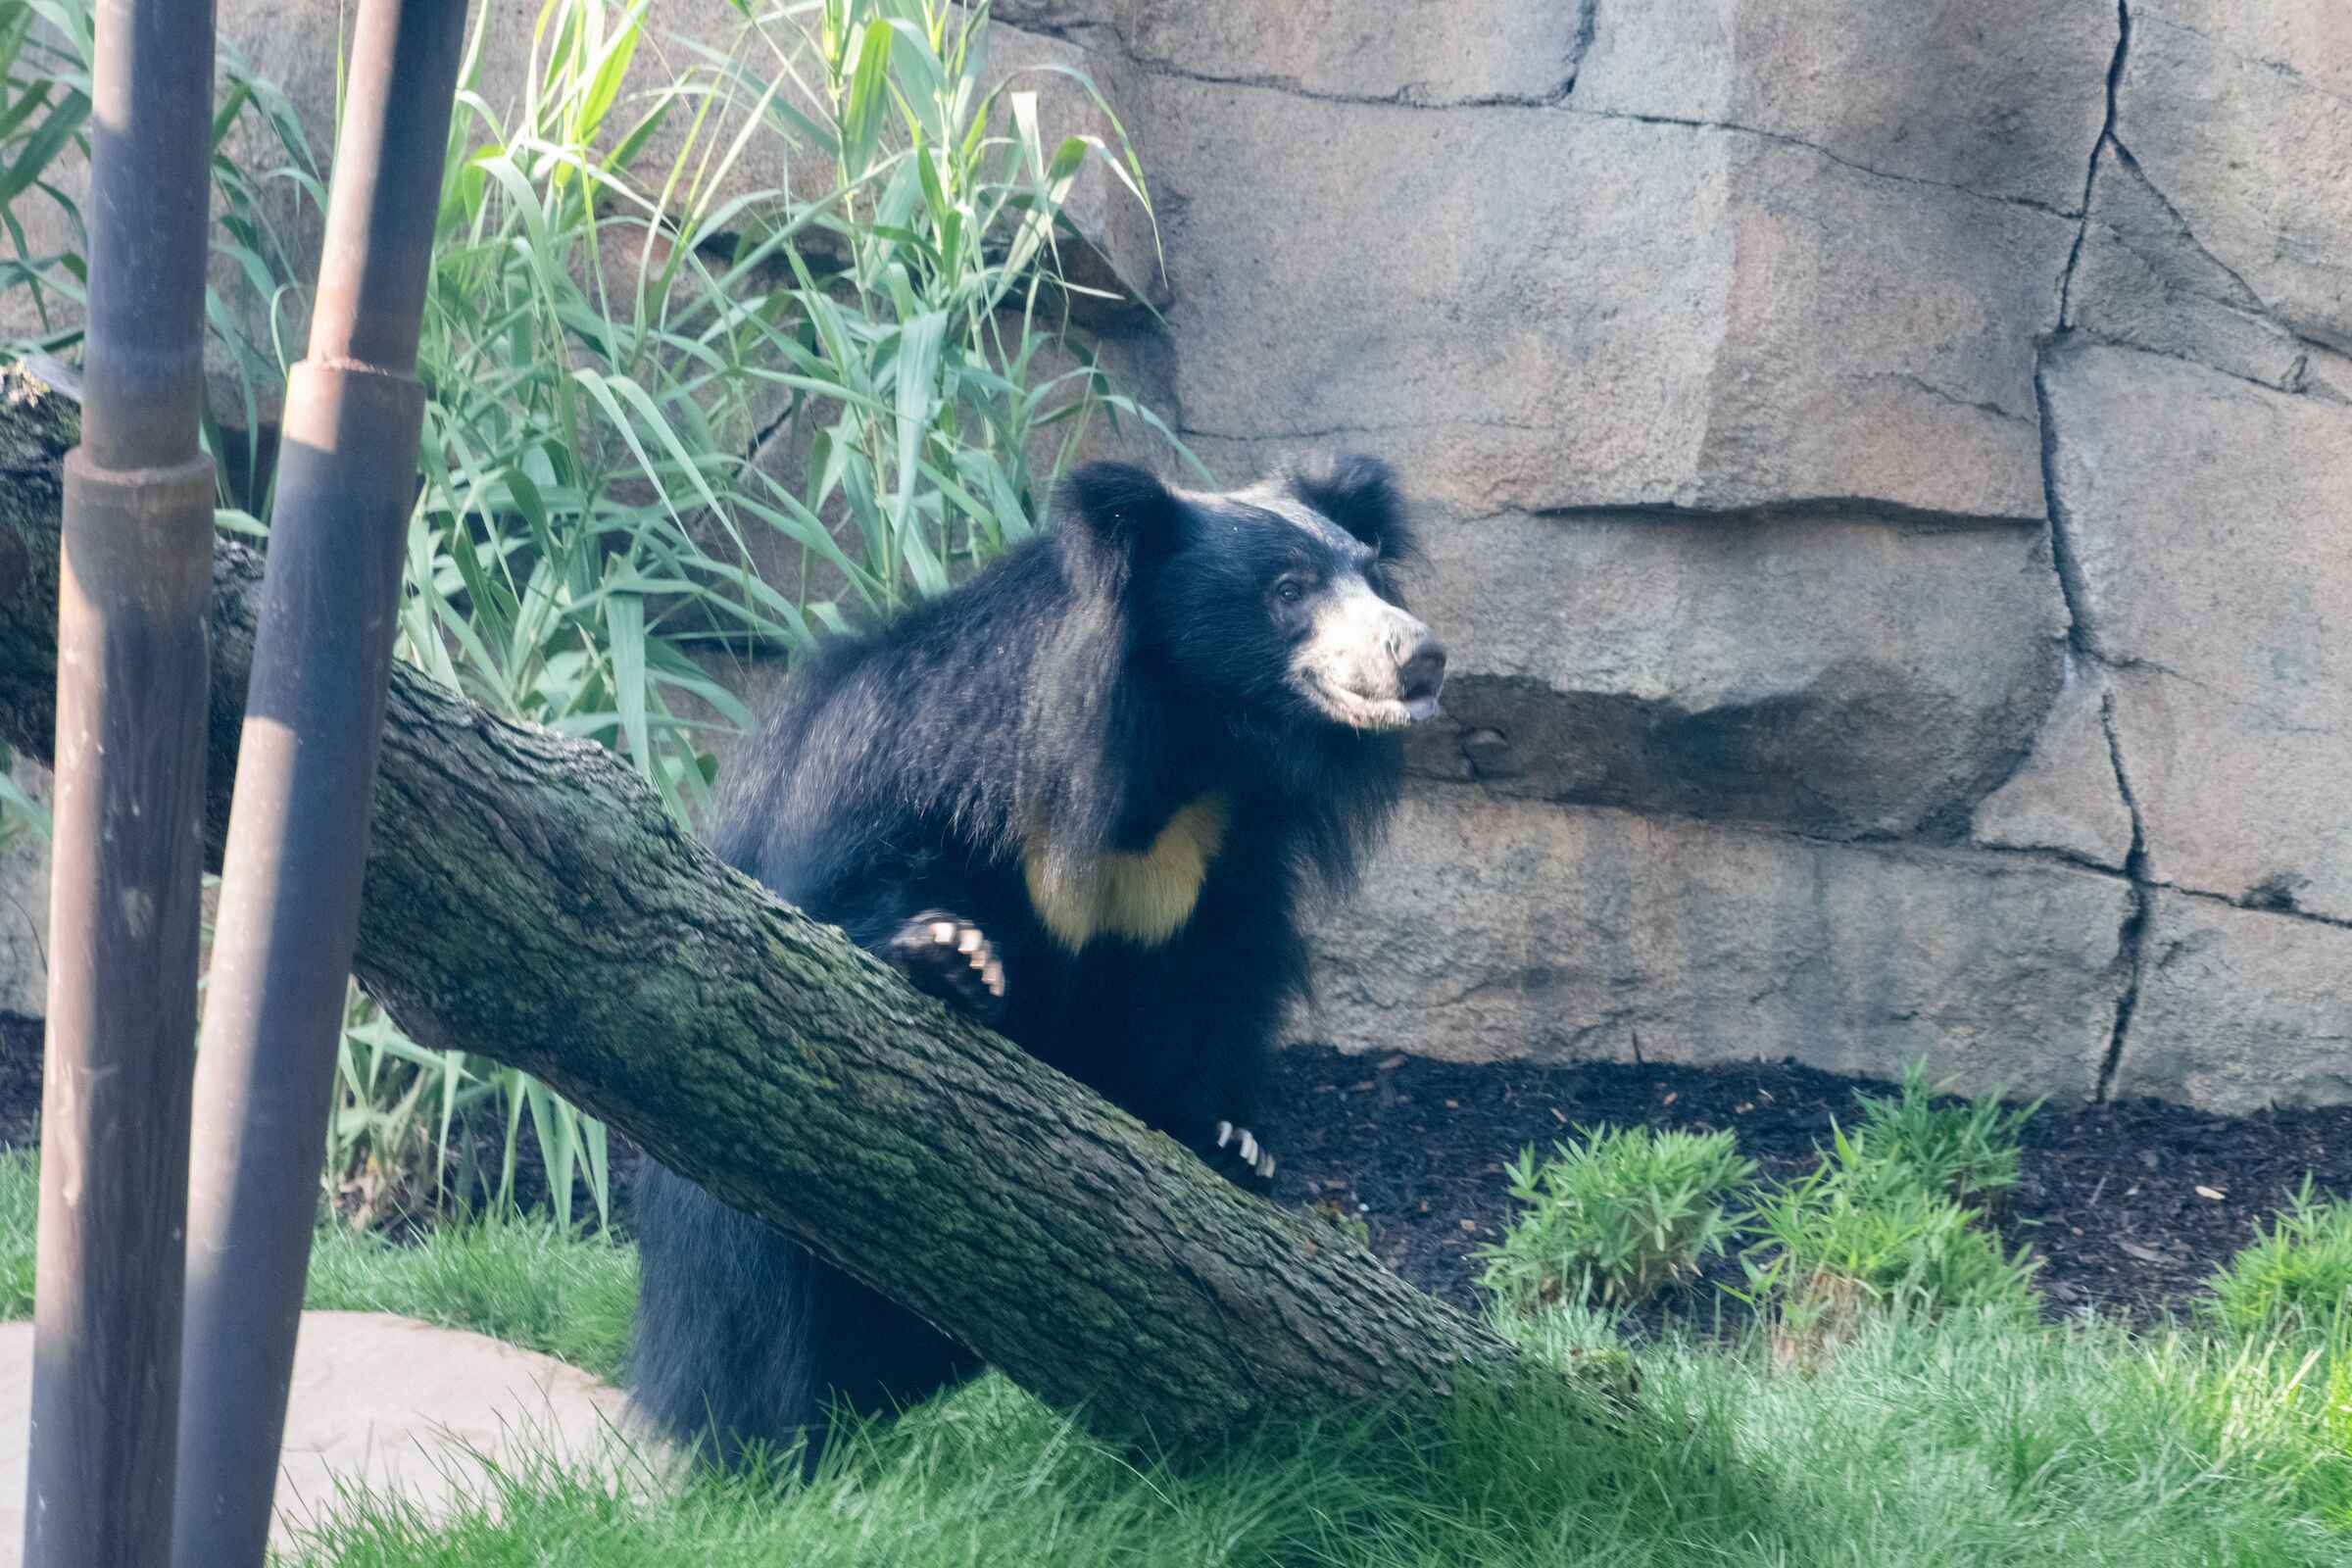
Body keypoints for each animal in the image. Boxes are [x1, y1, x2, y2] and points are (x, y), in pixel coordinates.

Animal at [625, 451, 1439, 1476]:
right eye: (1288, 591)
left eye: (1371, 578)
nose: (1422, 654)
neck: (1176, 758)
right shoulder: (902, 757)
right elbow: (832, 906)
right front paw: (953, 959)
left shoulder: (1220, 863)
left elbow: (1206, 997)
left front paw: (1231, 1142)